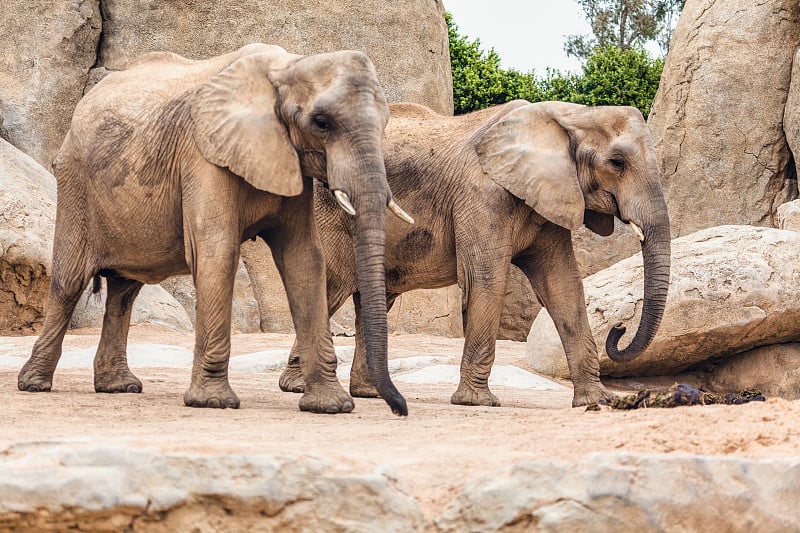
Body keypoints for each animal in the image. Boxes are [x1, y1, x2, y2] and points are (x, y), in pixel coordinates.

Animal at [18, 42, 412, 416]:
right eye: (321, 122)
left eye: (384, 122)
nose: (400, 408)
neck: (286, 65)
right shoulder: (202, 154)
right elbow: (218, 251)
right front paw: (213, 402)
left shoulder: (288, 160)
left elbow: (304, 259)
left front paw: (331, 406)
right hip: (75, 182)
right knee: (69, 281)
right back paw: (34, 384)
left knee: (124, 290)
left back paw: (118, 387)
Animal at [278, 100, 672, 408]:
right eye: (617, 163)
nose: (619, 329)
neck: (569, 115)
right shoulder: (481, 195)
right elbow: (486, 278)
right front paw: (478, 402)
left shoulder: (550, 197)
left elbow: (563, 287)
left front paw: (598, 402)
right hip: (331, 208)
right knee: (332, 283)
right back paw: (298, 387)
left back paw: (368, 392)